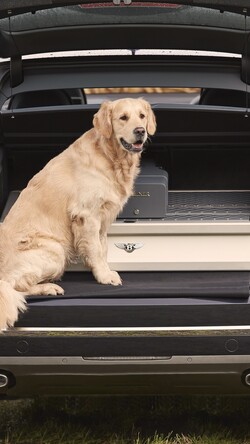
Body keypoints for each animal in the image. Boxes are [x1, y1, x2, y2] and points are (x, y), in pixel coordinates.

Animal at [0, 99, 156, 328]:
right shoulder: (87, 215)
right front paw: (104, 276)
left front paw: (104, 270)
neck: (110, 157)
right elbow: (96, 250)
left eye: (142, 116)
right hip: (55, 250)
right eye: (123, 117)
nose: (140, 131)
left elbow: (102, 249)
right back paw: (49, 287)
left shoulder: (103, 219)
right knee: (15, 286)